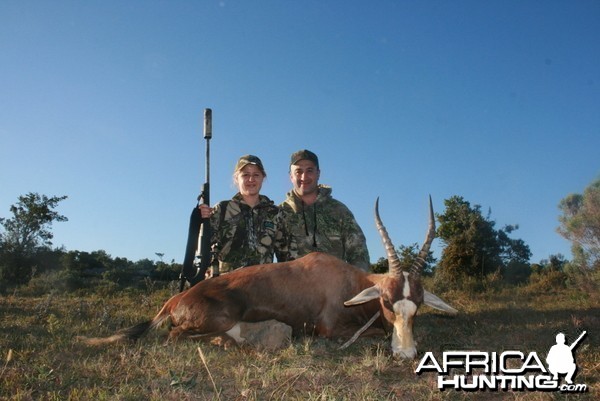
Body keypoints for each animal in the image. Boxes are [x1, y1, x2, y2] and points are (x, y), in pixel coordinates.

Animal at [78, 197, 454, 356]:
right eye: (387, 302)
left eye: (418, 304)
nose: (406, 353)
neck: (351, 284)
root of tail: (176, 299)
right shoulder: (330, 330)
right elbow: (370, 335)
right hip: (217, 319)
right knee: (176, 336)